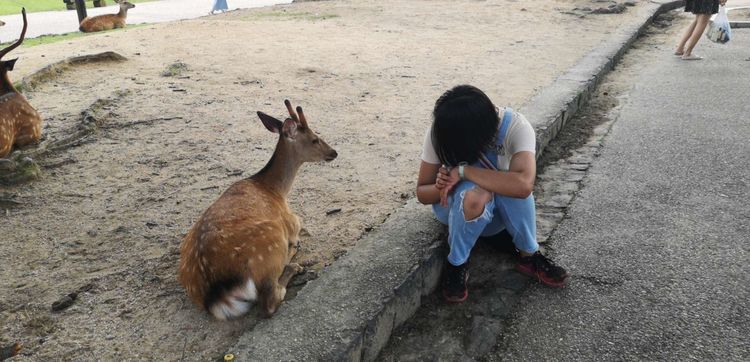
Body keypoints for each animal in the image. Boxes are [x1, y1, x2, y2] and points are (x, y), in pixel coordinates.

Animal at [179, 99, 338, 320]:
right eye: (315, 139)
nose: (334, 152)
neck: (275, 189)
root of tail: (216, 295)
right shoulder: (291, 221)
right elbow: (300, 222)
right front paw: (296, 246)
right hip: (271, 240)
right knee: (269, 301)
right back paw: (293, 264)